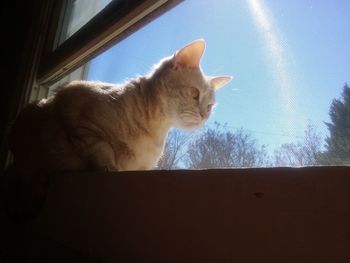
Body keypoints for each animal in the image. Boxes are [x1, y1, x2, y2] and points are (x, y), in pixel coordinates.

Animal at [4, 38, 232, 221]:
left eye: (210, 106)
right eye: (194, 94)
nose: (204, 115)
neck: (155, 129)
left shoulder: (143, 168)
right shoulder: (77, 113)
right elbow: (100, 148)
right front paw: (109, 167)